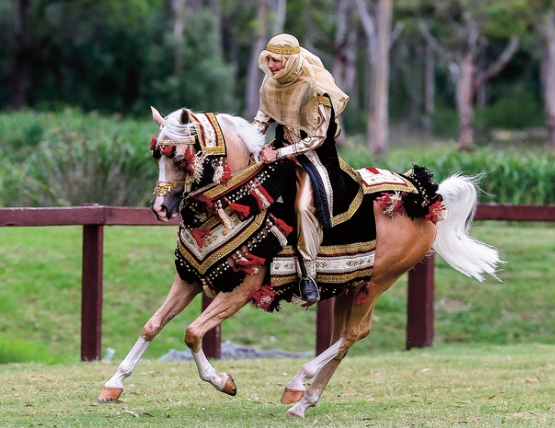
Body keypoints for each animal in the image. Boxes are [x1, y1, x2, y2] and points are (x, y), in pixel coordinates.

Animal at [97, 107, 502, 418]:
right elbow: (152, 325)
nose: (161, 208)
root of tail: (425, 197)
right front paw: (113, 385)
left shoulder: (241, 289)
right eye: (156, 155)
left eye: (180, 156)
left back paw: (297, 383)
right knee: (343, 338)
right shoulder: (190, 279)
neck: (242, 199)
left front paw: (224, 382)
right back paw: (303, 401)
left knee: (355, 334)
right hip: (349, 286)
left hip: (379, 280)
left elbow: (193, 333)